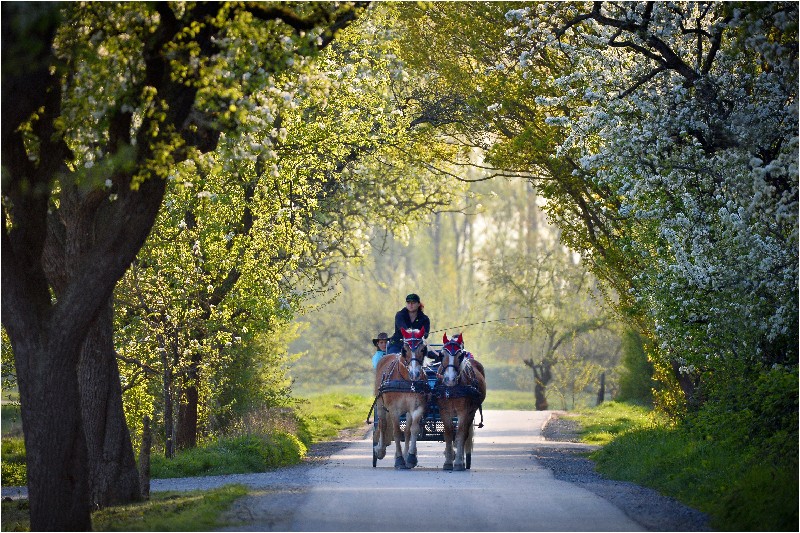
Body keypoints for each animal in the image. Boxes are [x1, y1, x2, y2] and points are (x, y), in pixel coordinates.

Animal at [372, 327, 429, 469]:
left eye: (423, 349)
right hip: (380, 404)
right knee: (382, 424)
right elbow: (397, 432)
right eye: (405, 350)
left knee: (407, 431)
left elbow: (413, 430)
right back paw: (380, 451)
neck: (408, 381)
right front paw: (399, 459)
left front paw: (411, 457)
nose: (415, 373)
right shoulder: (394, 410)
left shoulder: (417, 408)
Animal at [435, 332, 486, 471]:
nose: (450, 379)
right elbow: (448, 433)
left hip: (471, 412)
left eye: (460, 355)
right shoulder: (444, 411)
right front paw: (448, 462)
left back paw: (462, 460)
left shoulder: (464, 411)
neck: (452, 389)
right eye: (442, 355)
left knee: (465, 434)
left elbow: (460, 434)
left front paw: (458, 462)